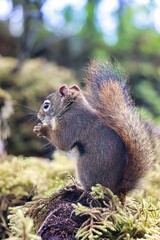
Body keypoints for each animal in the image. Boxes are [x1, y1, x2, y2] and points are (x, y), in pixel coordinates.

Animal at [32, 60, 156, 201]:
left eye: (46, 105)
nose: (39, 116)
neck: (70, 108)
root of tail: (117, 189)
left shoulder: (71, 124)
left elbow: (62, 142)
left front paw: (42, 129)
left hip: (85, 168)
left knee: (91, 188)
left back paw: (80, 188)